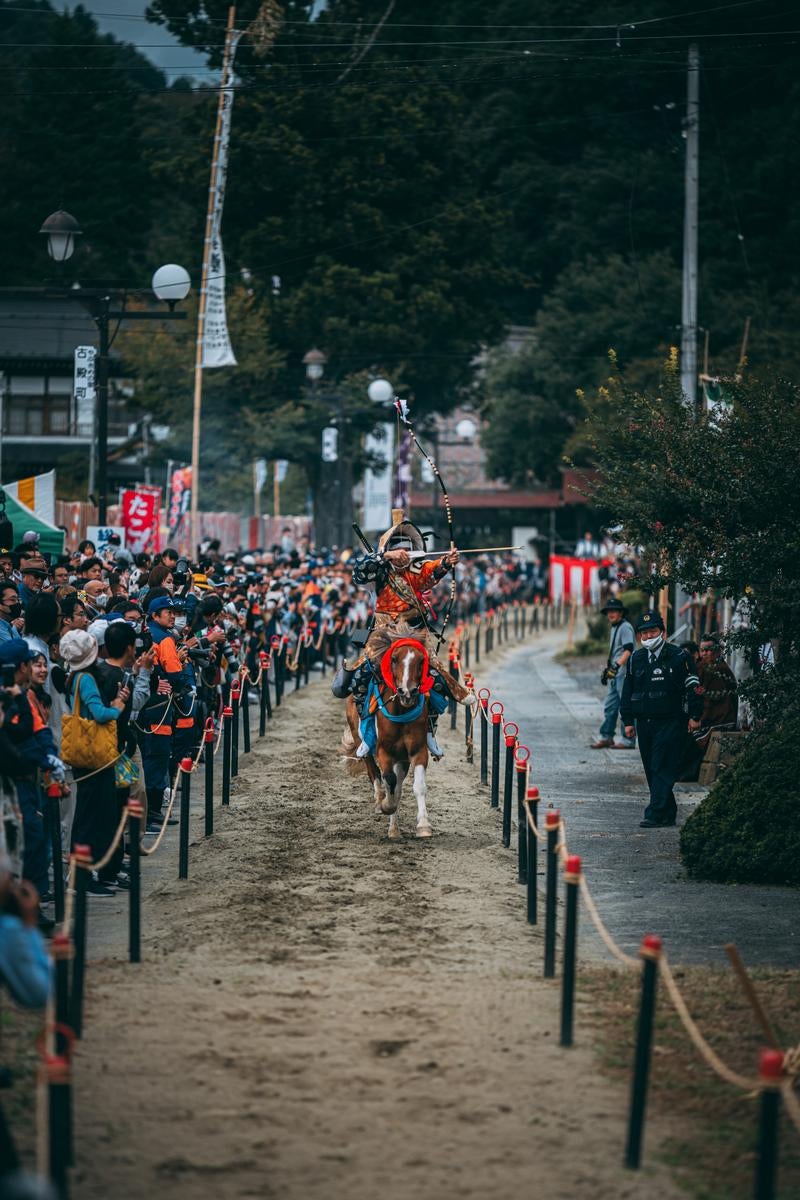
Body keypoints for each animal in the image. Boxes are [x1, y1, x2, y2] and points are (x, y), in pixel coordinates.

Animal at [343, 633, 434, 840]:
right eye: (394, 659)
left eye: (421, 660)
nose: (407, 692)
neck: (400, 710)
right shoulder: (384, 751)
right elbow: (389, 779)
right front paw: (386, 805)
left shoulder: (416, 751)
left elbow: (416, 786)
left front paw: (423, 825)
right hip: (360, 739)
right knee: (373, 771)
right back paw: (379, 801)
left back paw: (394, 828)